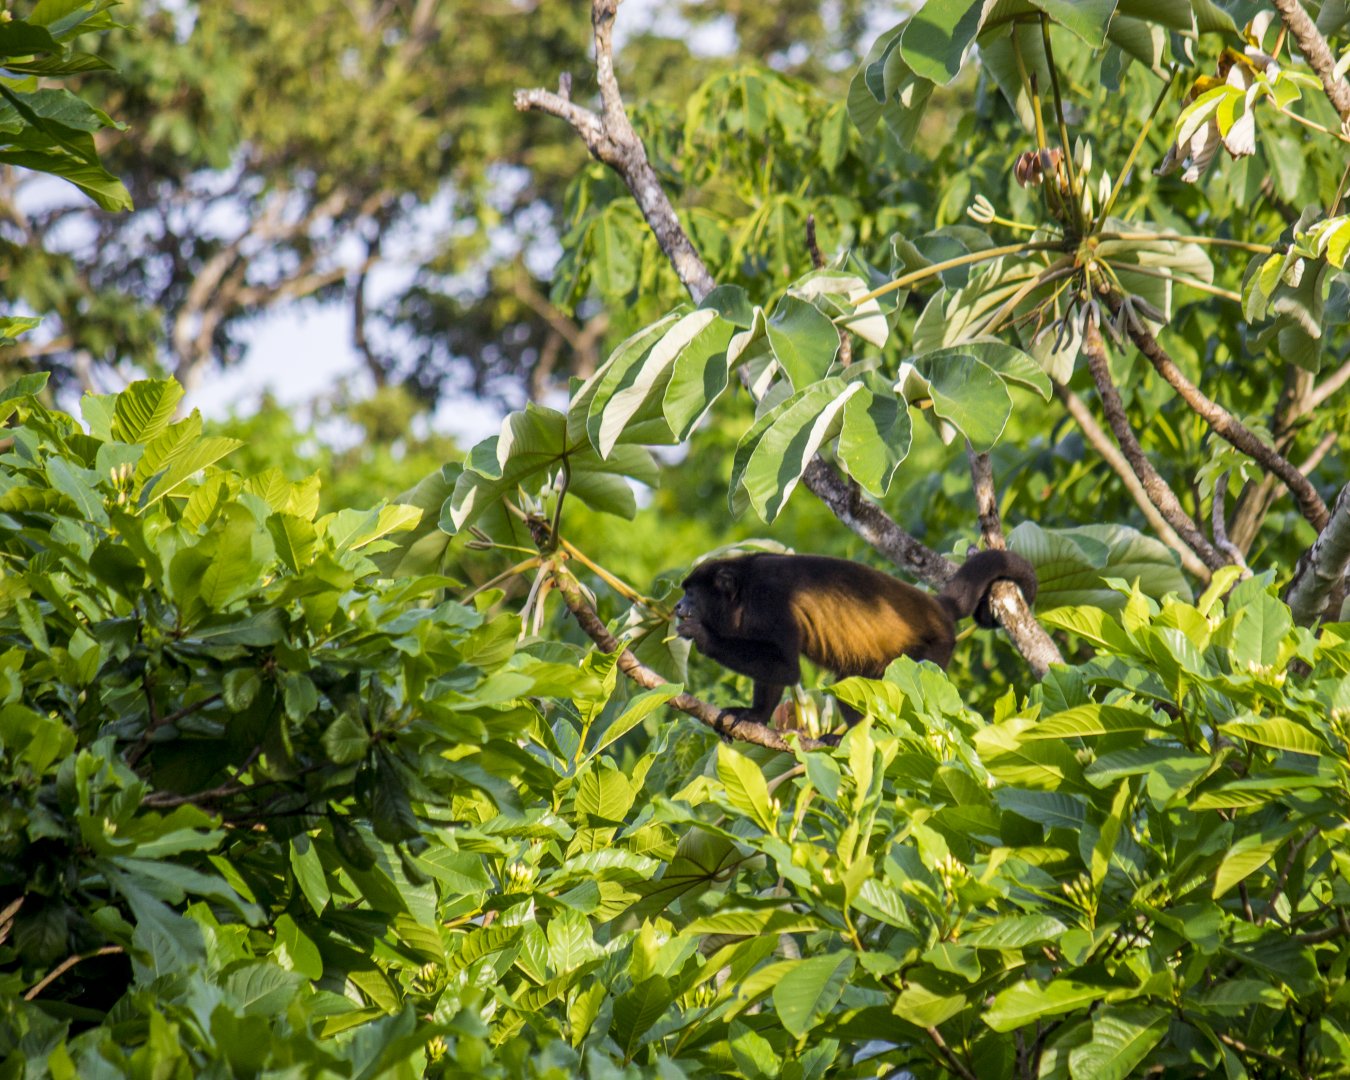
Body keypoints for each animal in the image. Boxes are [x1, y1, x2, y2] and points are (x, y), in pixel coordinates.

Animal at [672, 549, 1037, 734]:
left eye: (692, 595)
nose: (677, 606)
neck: (742, 593)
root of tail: (936, 607)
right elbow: (775, 673)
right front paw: (755, 715)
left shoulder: (771, 599)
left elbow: (786, 666)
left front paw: (702, 634)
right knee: (849, 688)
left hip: (933, 648)